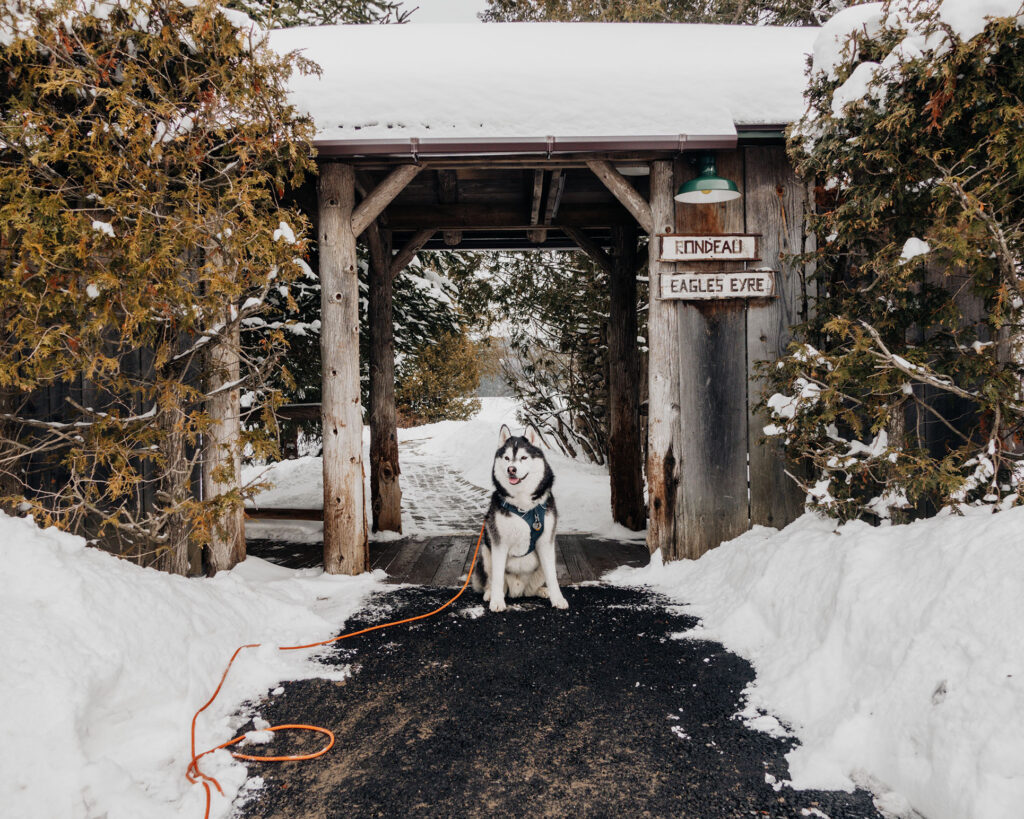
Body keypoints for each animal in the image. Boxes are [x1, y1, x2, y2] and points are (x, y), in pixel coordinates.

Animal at [471, 425, 569, 610]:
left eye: (523, 457)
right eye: (507, 458)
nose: (511, 469)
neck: (523, 505)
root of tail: (518, 590)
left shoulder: (546, 543)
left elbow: (552, 576)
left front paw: (558, 598)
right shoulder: (499, 543)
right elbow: (497, 577)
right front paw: (497, 601)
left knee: (533, 588)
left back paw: (541, 590)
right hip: (486, 553)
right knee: (492, 581)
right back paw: (490, 593)